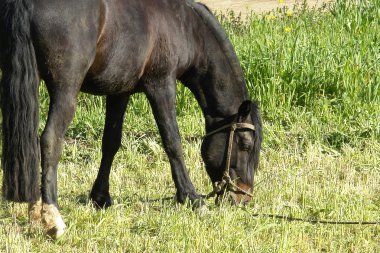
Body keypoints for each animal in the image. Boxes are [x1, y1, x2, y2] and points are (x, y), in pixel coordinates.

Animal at [0, 0, 262, 238]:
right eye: (245, 145)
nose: (243, 197)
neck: (186, 26)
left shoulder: (119, 93)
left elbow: (111, 143)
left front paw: (100, 197)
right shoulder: (161, 85)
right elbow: (172, 143)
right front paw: (191, 197)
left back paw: (35, 212)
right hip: (66, 90)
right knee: (50, 140)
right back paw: (52, 216)